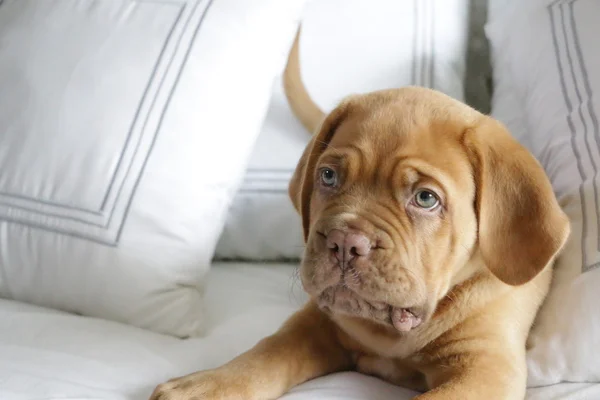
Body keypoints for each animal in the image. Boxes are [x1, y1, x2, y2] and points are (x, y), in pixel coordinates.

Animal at [150, 38, 568, 400]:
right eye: (328, 176)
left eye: (426, 198)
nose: (344, 242)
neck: (391, 337)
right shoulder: (318, 322)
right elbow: (266, 352)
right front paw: (208, 385)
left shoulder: (487, 366)